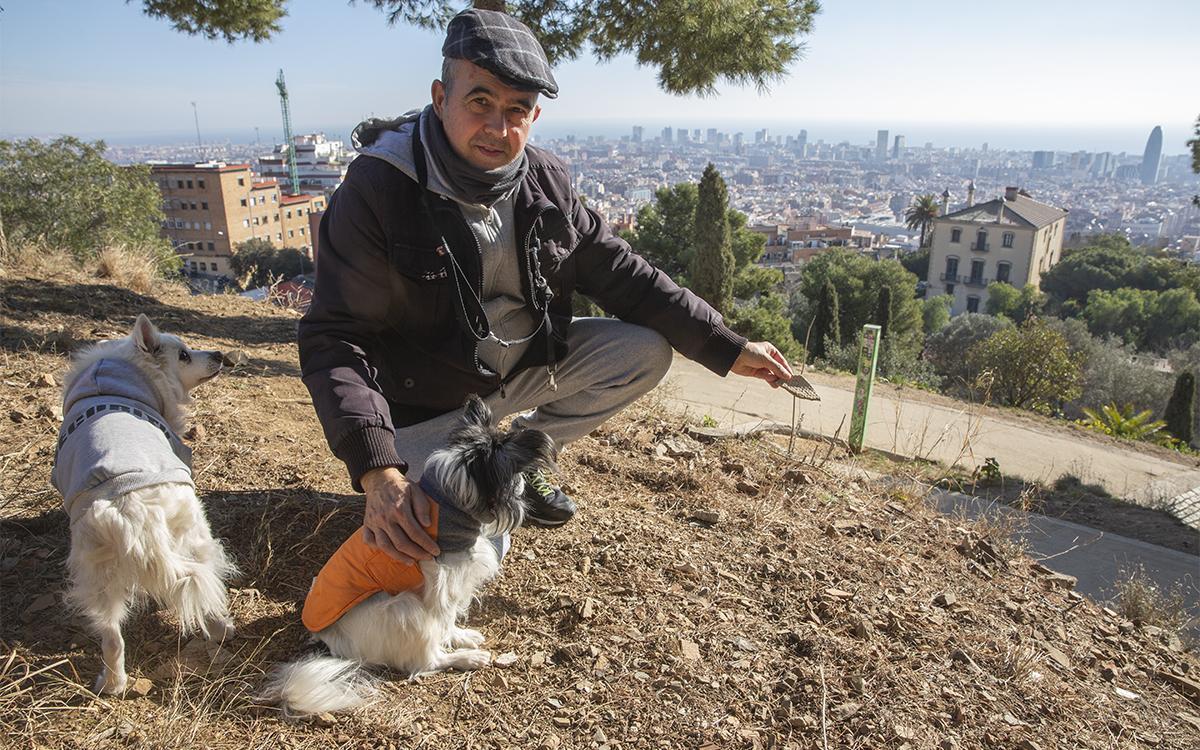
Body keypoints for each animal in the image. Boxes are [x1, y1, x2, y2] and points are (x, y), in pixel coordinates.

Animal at [52, 312, 237, 691]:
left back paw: (111, 684)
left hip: (96, 575)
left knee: (112, 637)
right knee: (206, 587)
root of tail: (136, 511)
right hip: (196, 535)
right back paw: (221, 628)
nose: (219, 354)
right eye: (184, 355)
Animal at [262, 391, 552, 715]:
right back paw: (466, 659)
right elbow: (445, 619)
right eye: (518, 475)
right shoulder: (442, 586)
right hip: (405, 608)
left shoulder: (455, 585)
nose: (528, 485)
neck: (447, 500)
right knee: (427, 662)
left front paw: (461, 635)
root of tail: (330, 642)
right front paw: (459, 645)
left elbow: (451, 619)